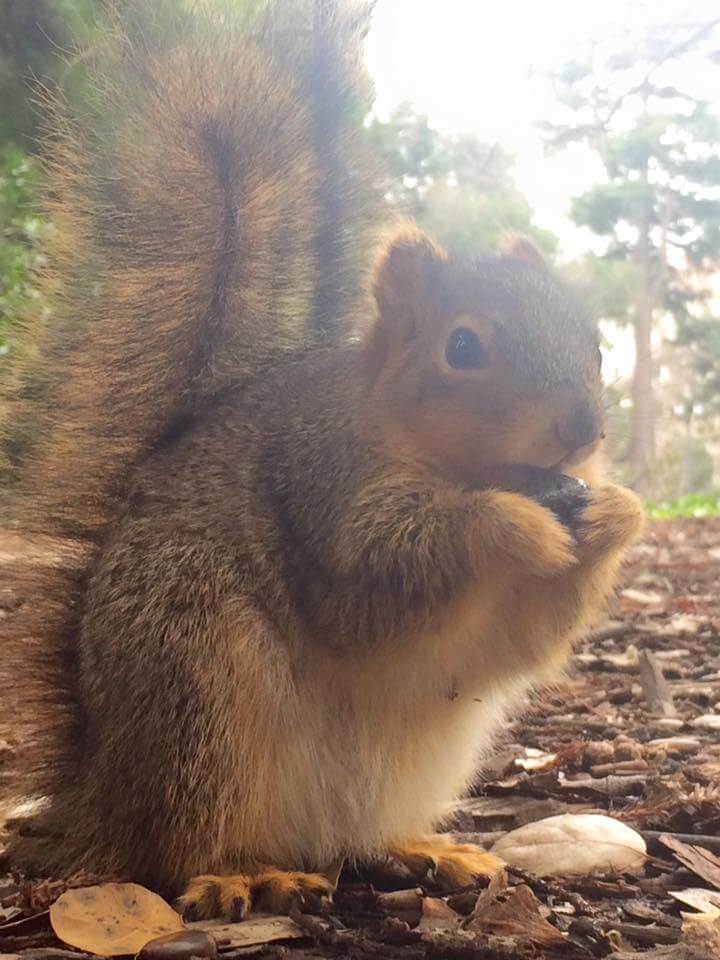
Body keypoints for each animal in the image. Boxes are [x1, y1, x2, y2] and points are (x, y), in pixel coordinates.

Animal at [0, 0, 640, 916]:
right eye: (463, 347)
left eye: (593, 339)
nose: (581, 429)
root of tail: (102, 795)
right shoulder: (319, 494)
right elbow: (378, 581)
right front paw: (508, 526)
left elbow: (532, 635)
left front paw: (619, 511)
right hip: (197, 688)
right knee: (180, 849)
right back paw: (246, 872)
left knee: (354, 839)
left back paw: (426, 850)